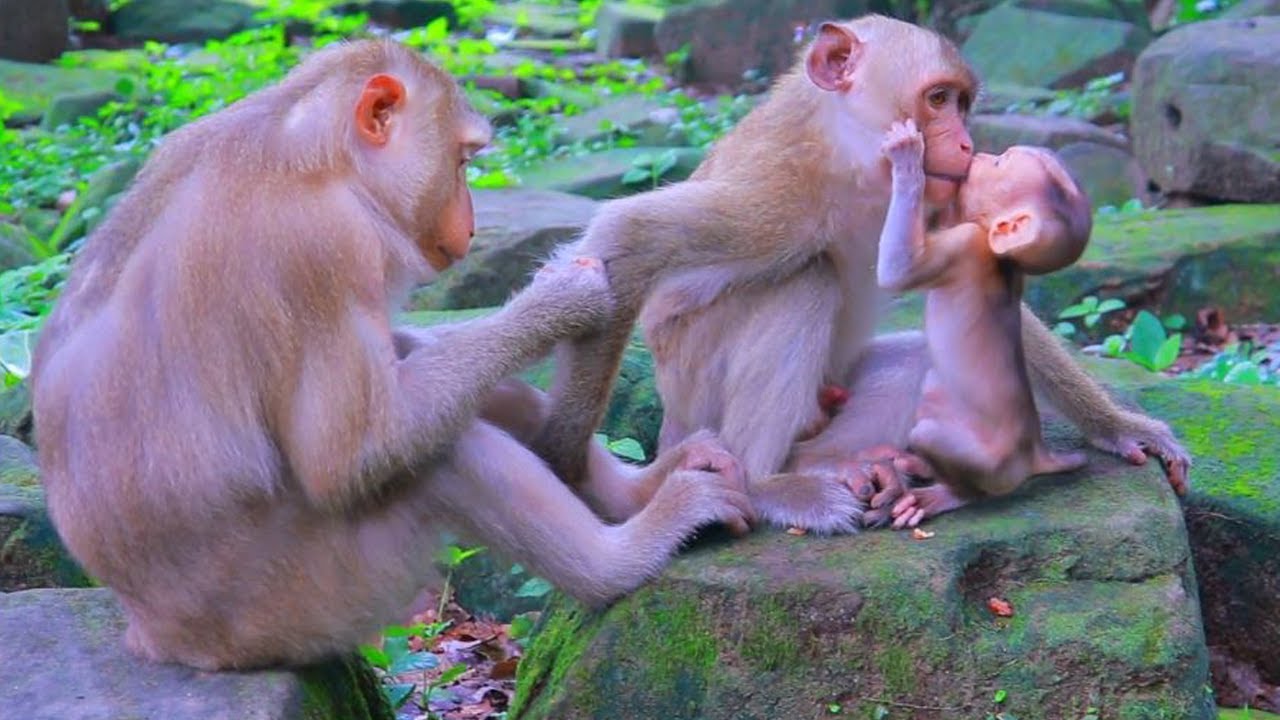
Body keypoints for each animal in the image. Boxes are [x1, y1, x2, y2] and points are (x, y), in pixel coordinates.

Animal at [29, 40, 752, 671]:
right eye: (462, 160)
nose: (471, 223)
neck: (302, 146)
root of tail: (157, 636)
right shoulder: (324, 246)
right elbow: (348, 455)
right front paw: (563, 299)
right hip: (304, 600)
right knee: (441, 459)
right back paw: (622, 559)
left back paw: (632, 492)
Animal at [875, 122, 1094, 526]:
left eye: (999, 164)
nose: (976, 153)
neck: (1001, 257)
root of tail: (1036, 454)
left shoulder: (966, 245)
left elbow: (900, 270)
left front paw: (907, 157)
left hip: (995, 465)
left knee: (934, 440)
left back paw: (949, 493)